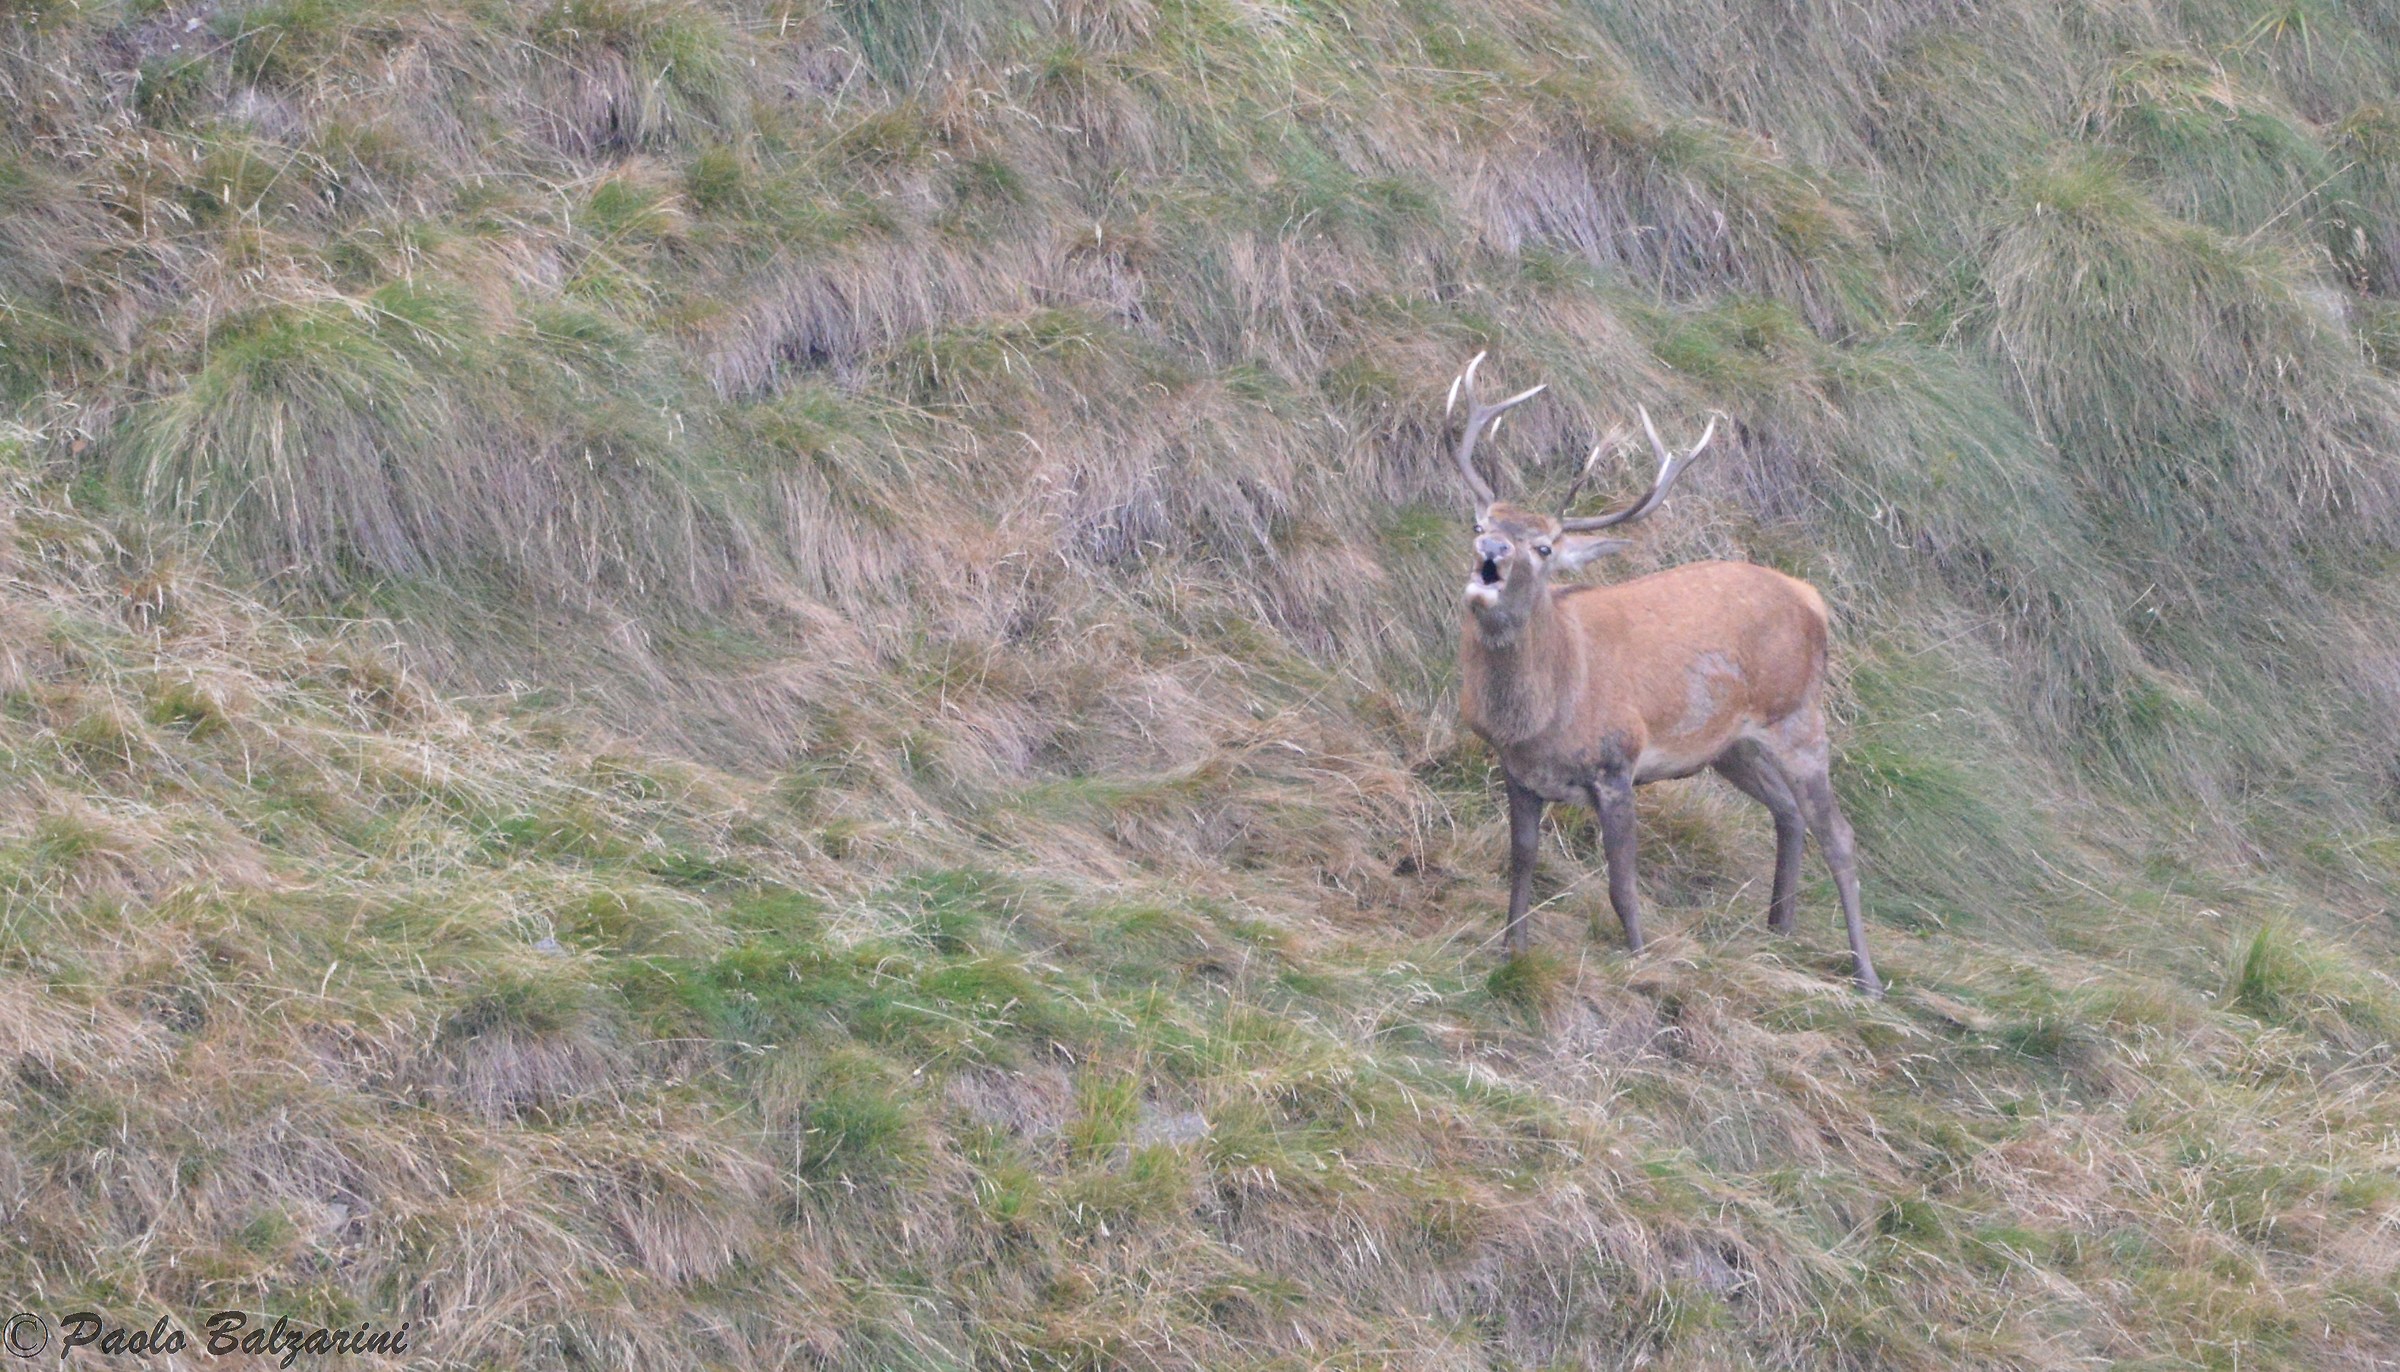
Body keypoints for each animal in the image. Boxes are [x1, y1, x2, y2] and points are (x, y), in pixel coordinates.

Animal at [1444, 354, 1882, 995]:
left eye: (1545, 548)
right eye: (1481, 525)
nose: (1495, 550)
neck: (1544, 713)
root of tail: (1812, 598)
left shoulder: (1616, 764)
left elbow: (1621, 884)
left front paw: (1640, 960)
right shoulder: (1518, 771)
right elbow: (1521, 862)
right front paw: (1511, 950)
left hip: (1799, 715)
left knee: (1840, 835)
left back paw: (1865, 975)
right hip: (1730, 745)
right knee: (1788, 812)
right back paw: (1779, 930)